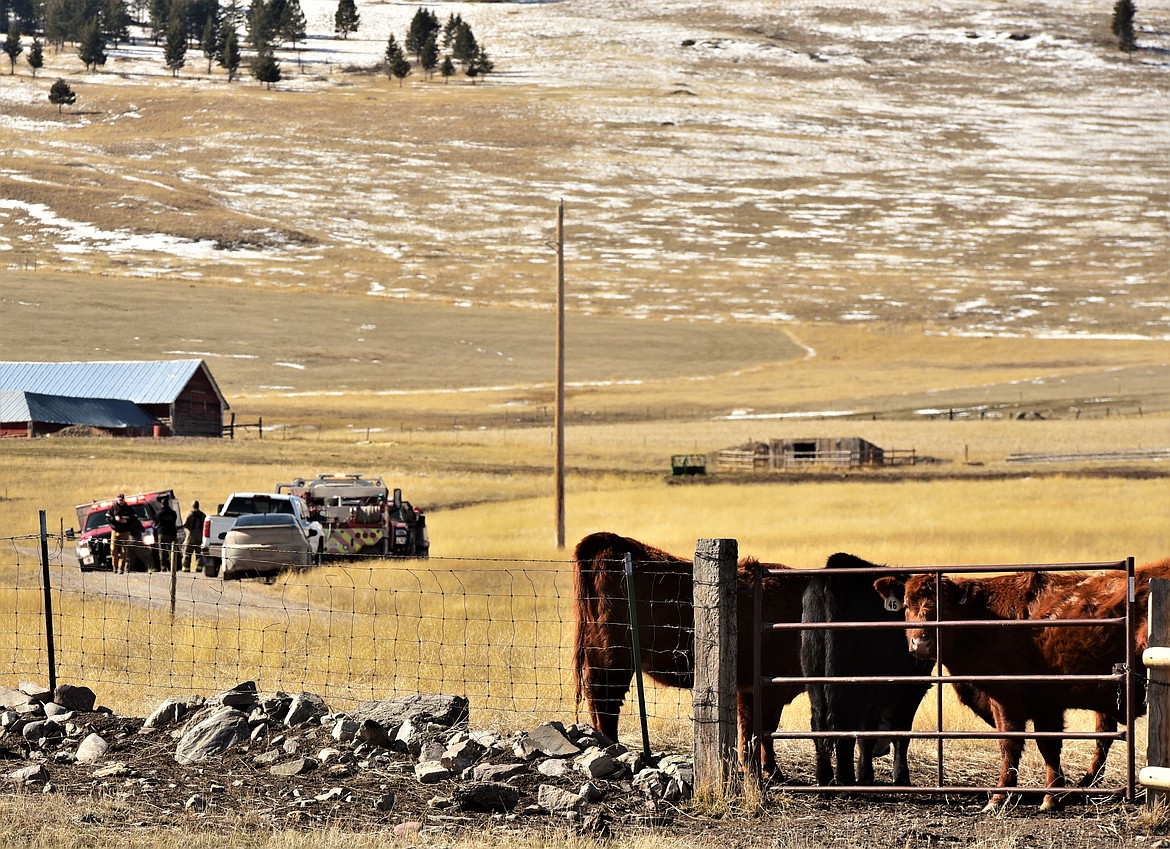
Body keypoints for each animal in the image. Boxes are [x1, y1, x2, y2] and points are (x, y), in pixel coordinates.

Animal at [573, 533, 809, 776]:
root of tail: (609, 540)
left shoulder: (748, 688)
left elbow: (748, 728)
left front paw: (749, 768)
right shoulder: (773, 686)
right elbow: (766, 728)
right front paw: (771, 770)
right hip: (615, 659)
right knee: (606, 701)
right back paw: (613, 746)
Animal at [879, 561, 1170, 813]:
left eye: (943, 608)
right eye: (907, 605)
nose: (920, 643)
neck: (983, 620)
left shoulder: (1008, 701)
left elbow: (1013, 745)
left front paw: (1003, 797)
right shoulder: (1046, 706)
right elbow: (1048, 747)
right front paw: (1054, 794)